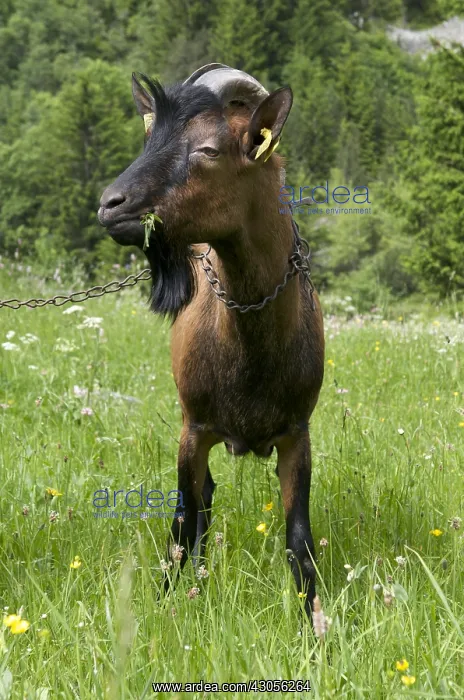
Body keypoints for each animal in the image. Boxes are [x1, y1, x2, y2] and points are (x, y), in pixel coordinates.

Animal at [98, 64, 325, 617]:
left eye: (207, 149)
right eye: (149, 137)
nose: (110, 204)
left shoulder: (297, 432)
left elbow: (299, 537)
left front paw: (315, 620)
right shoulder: (193, 429)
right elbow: (183, 521)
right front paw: (166, 603)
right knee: (202, 502)